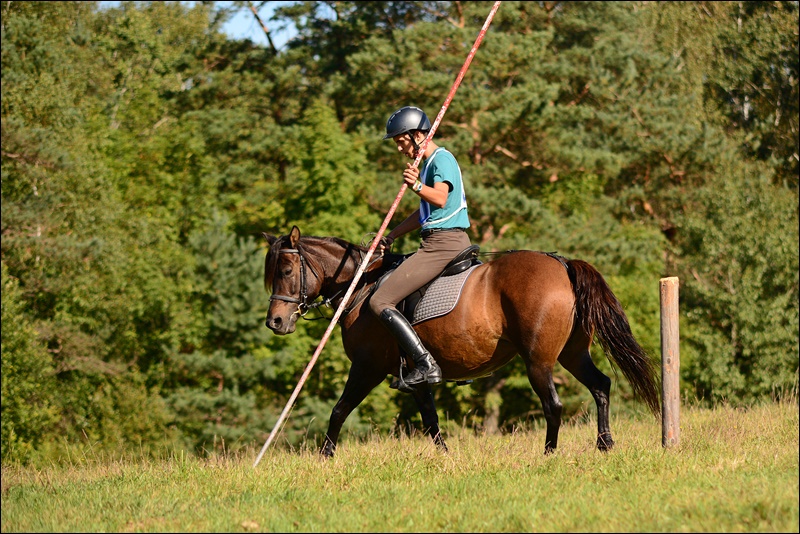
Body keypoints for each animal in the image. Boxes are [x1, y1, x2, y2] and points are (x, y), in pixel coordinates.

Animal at [266, 227, 660, 460]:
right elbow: (431, 420)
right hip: (573, 354)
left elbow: (339, 409)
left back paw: (549, 455)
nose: (275, 322)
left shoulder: (367, 367)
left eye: (285, 271)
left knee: (554, 405)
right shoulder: (417, 377)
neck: (360, 286)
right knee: (601, 386)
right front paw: (446, 458)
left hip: (539, 361)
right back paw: (605, 444)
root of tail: (561, 264)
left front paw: (325, 457)